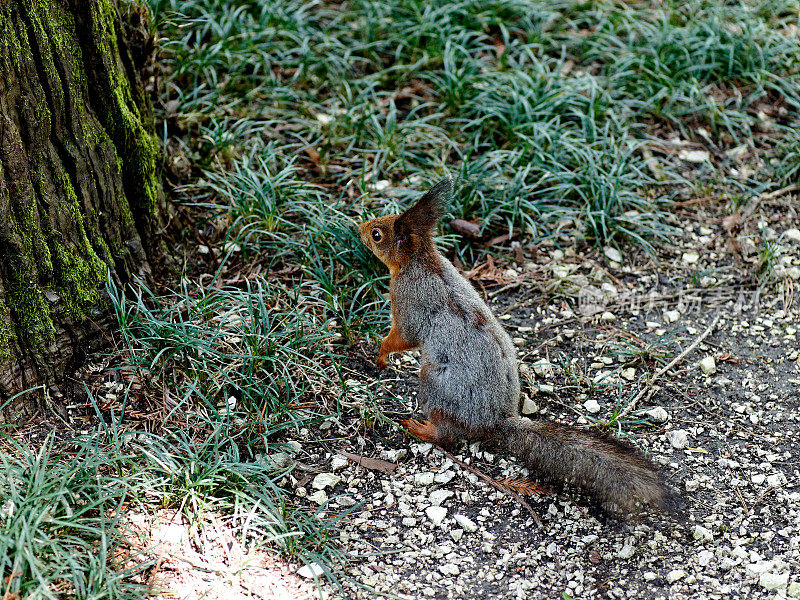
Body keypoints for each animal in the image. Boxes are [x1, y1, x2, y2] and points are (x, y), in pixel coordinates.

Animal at [360, 176, 680, 512]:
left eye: (377, 234)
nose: (360, 227)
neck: (419, 262)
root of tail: (495, 421)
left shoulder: (408, 300)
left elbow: (403, 337)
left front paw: (380, 355)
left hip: (435, 387)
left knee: (447, 436)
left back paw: (421, 428)